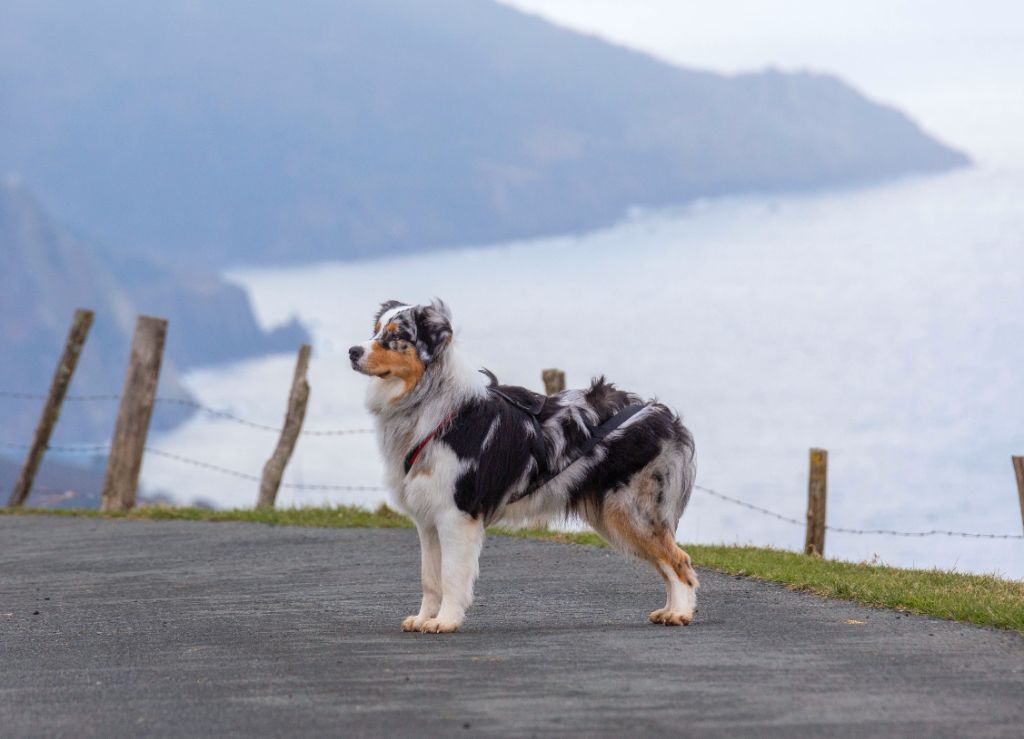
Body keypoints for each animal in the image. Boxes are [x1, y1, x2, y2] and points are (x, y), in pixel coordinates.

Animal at [350, 296, 696, 630]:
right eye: (375, 331)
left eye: (396, 336)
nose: (353, 351)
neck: (430, 403)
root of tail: (662, 415)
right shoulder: (427, 517)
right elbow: (430, 577)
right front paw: (423, 618)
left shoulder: (456, 512)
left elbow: (450, 575)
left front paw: (445, 621)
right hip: (614, 514)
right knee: (667, 563)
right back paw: (669, 610)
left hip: (628, 511)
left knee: (680, 561)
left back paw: (679, 613)